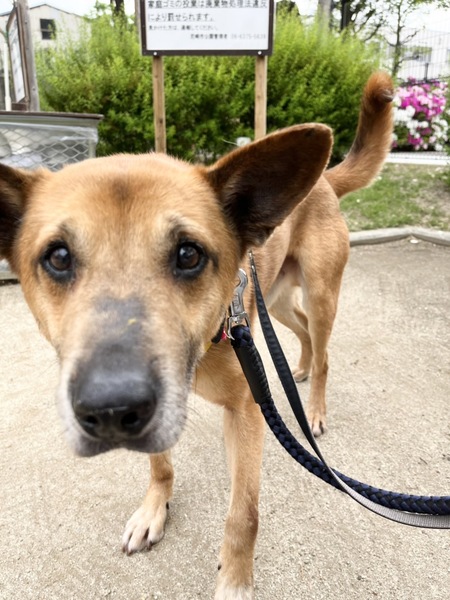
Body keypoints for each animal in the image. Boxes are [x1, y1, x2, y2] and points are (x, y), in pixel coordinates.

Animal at [0, 71, 393, 598]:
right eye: (58, 257)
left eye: (189, 254)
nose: (110, 410)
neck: (207, 344)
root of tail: (324, 181)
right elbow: (160, 464)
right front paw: (154, 509)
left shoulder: (247, 410)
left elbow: (243, 514)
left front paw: (236, 581)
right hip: (277, 300)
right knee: (304, 333)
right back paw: (300, 368)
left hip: (321, 293)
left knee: (326, 348)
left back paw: (314, 409)